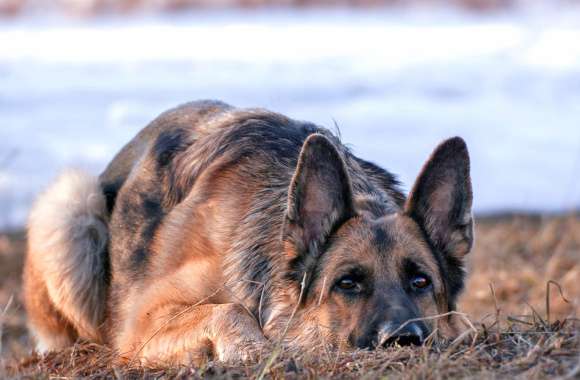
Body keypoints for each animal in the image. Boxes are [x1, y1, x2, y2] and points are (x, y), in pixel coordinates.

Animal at [23, 99, 476, 364]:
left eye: (421, 282)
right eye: (347, 283)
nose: (402, 341)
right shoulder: (142, 322)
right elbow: (229, 309)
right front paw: (253, 350)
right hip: (71, 205)